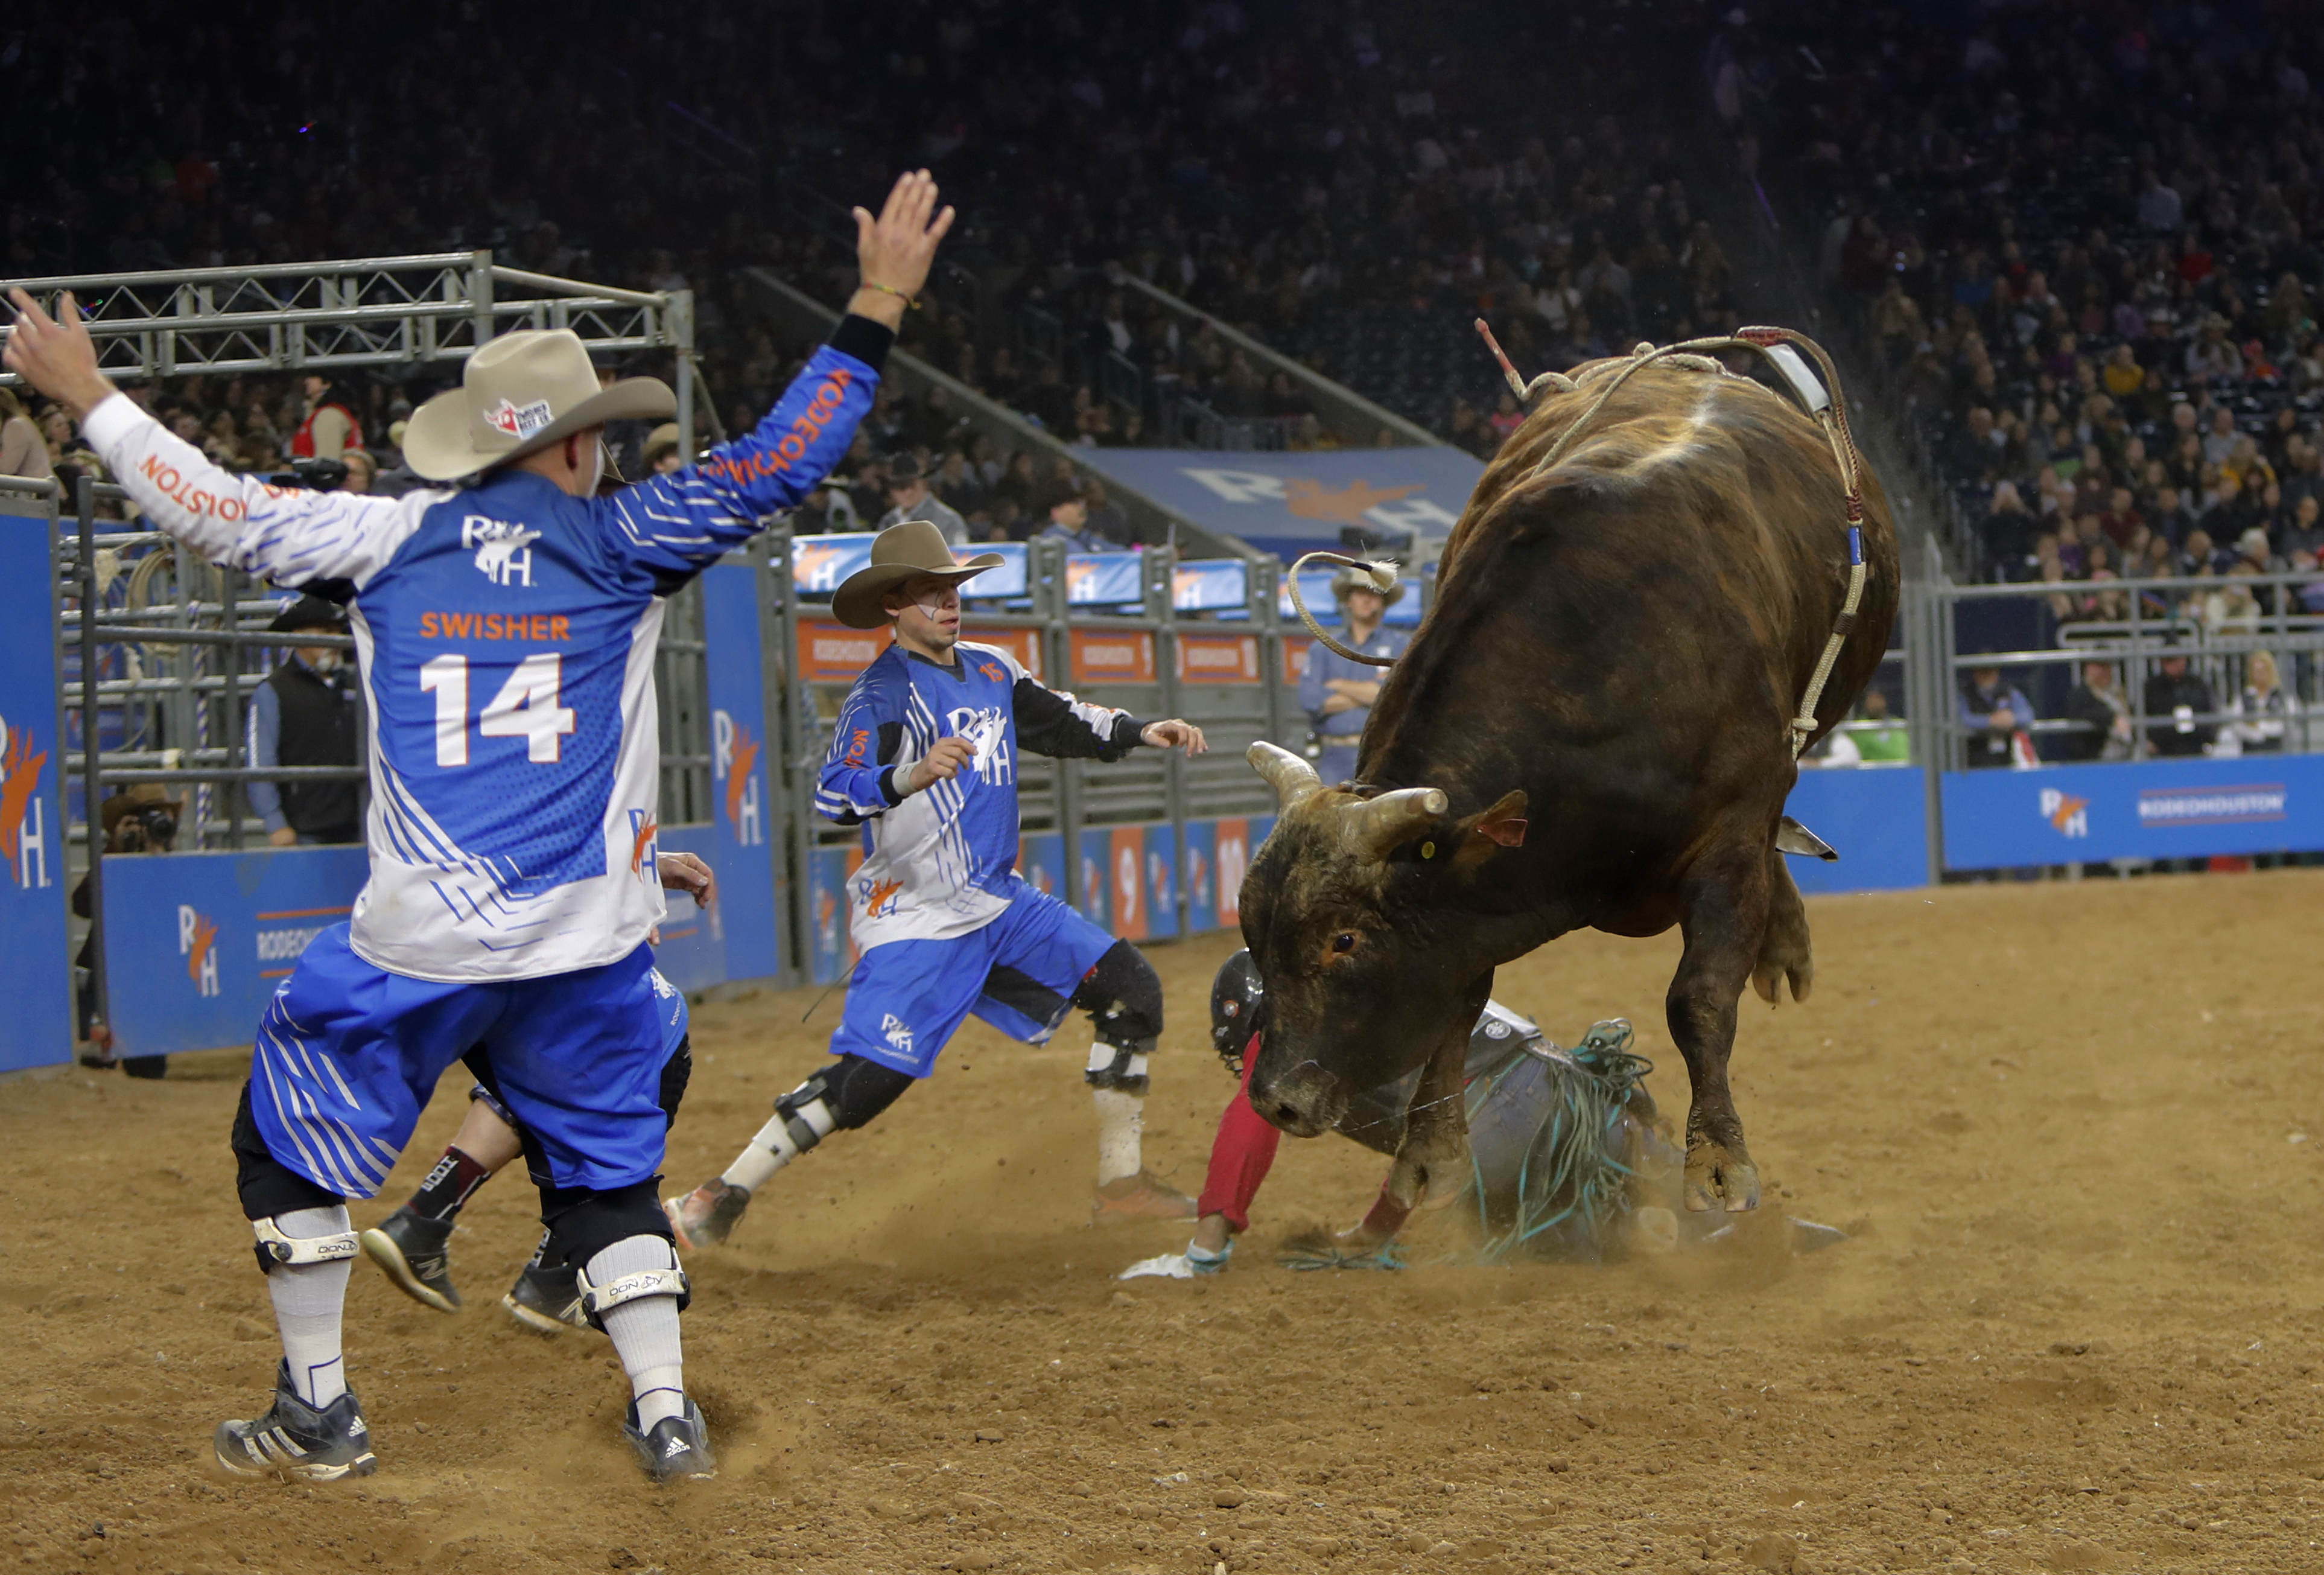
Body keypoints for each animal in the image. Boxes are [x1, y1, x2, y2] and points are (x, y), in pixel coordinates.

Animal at [1245, 355, 1896, 1217]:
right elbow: (1458, 996)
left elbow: (1698, 999)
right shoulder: (1467, 901)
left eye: (1345, 940)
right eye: (1253, 934)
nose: (1275, 1098)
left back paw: (1783, 939)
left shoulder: (1731, 831)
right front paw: (1428, 1154)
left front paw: (1719, 1161)